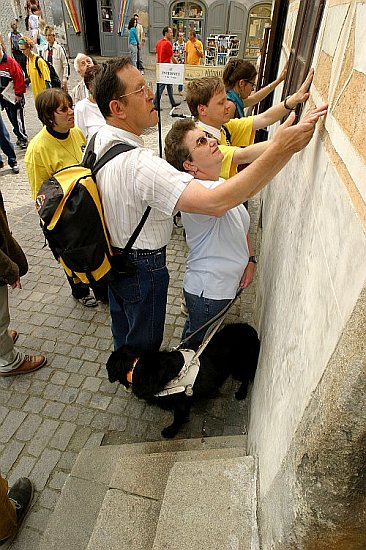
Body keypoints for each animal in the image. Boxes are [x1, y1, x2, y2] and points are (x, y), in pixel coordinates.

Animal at [106, 324, 260, 440]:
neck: (137, 366)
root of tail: (250, 329)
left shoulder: (182, 400)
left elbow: (178, 417)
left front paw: (171, 431)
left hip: (240, 367)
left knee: (246, 377)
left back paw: (241, 393)